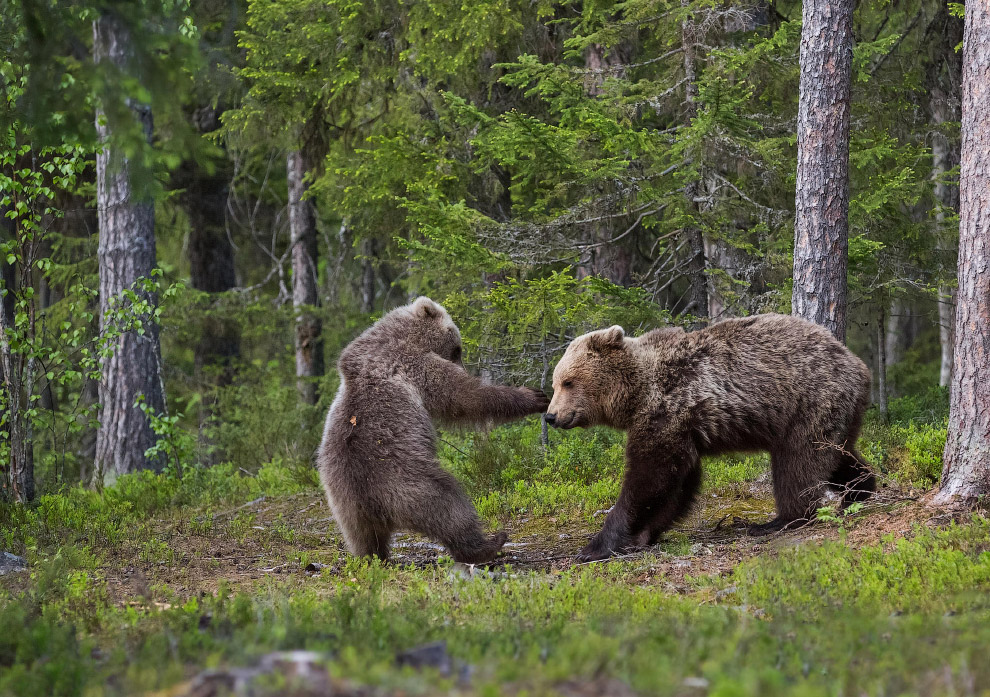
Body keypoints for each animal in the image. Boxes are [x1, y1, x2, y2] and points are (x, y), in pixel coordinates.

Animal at [318, 296, 552, 564]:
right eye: (457, 349)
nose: (463, 365)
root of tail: (374, 505)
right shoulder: (415, 364)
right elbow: (464, 396)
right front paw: (532, 396)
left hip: (343, 505)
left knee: (363, 539)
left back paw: (374, 558)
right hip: (411, 483)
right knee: (450, 509)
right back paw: (488, 543)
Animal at [548, 314, 880, 560]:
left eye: (568, 382)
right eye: (555, 383)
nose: (551, 416)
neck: (637, 392)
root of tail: (859, 366)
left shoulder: (668, 410)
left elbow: (650, 478)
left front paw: (595, 546)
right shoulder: (680, 427)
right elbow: (677, 483)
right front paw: (643, 534)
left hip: (808, 401)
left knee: (798, 461)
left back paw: (778, 521)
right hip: (834, 413)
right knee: (836, 454)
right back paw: (860, 489)